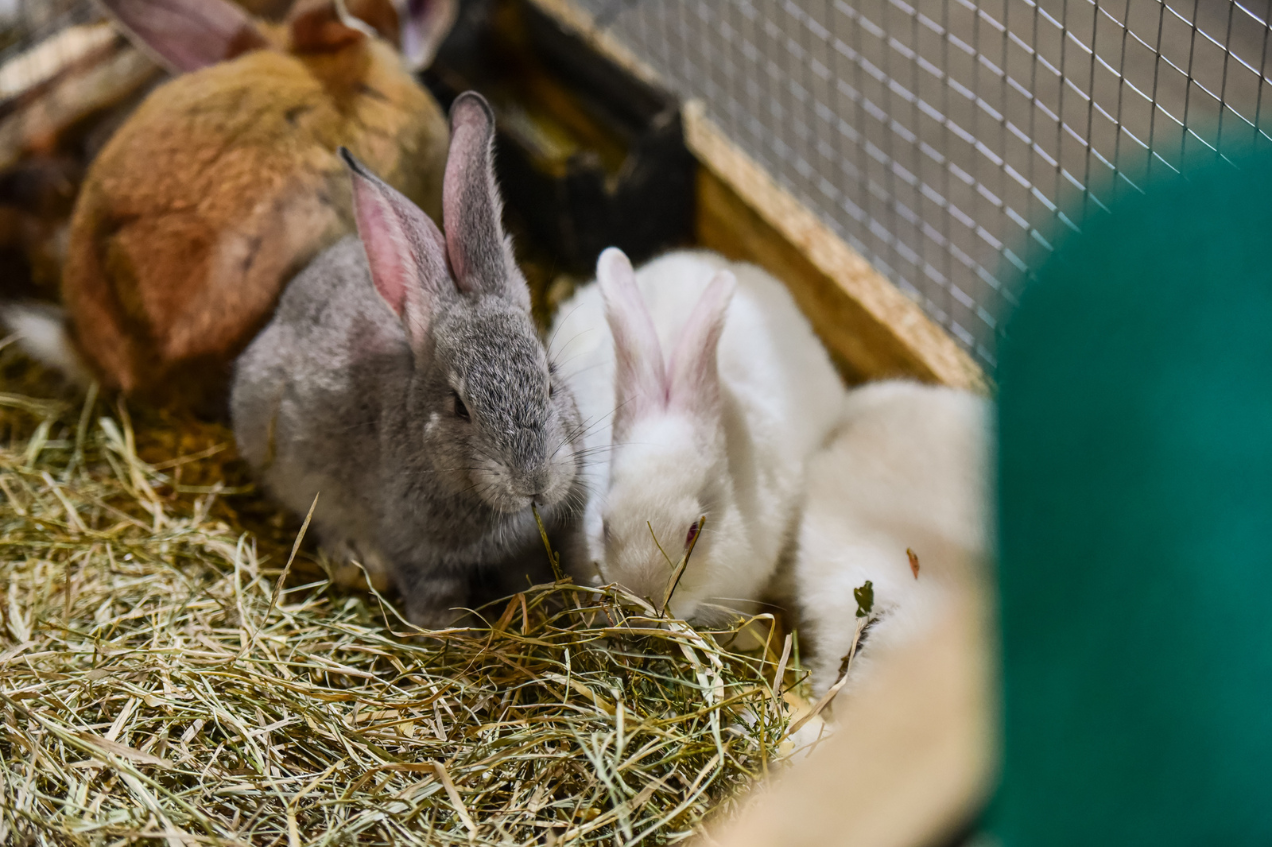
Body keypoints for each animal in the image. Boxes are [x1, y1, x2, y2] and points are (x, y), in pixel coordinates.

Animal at [232, 92, 585, 623]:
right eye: (460, 407)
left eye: (549, 381)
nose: (534, 482)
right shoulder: (418, 557)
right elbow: (433, 593)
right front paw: (448, 628)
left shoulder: (524, 549)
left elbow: (528, 574)